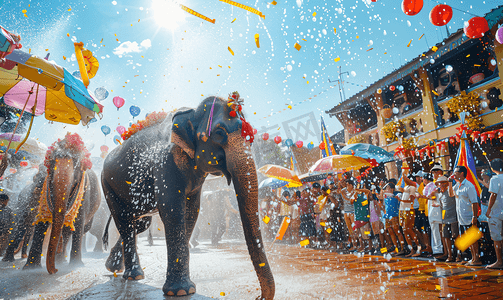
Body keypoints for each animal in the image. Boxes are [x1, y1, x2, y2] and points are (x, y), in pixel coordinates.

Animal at [23, 132, 101, 274]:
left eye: (77, 165)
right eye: (51, 163)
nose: (55, 270)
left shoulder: (84, 191)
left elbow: (79, 221)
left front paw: (76, 265)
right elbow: (42, 221)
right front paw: (30, 268)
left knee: (77, 229)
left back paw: (63, 261)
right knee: (65, 231)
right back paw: (60, 260)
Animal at [102, 93, 276, 298]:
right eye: (219, 133)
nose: (258, 296)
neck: (191, 113)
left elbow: (191, 211)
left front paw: (183, 289)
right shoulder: (165, 162)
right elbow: (173, 211)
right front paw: (181, 291)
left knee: (138, 223)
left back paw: (114, 267)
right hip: (108, 185)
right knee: (125, 221)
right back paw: (133, 275)